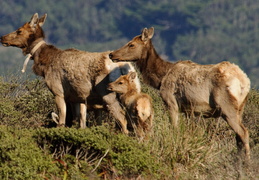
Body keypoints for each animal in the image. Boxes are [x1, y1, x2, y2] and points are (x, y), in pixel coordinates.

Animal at [0, 12, 140, 133]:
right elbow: (79, 122)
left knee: (122, 118)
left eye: (19, 30)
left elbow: (62, 121)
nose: (2, 38)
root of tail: (124, 66)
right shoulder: (76, 98)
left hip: (107, 93)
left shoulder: (59, 92)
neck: (44, 65)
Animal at [109, 26, 252, 159]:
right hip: (241, 107)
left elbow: (174, 128)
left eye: (131, 44)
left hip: (226, 106)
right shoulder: (189, 110)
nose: (112, 54)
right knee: (238, 137)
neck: (161, 79)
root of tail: (244, 82)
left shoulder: (170, 101)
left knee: (243, 132)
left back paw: (247, 162)